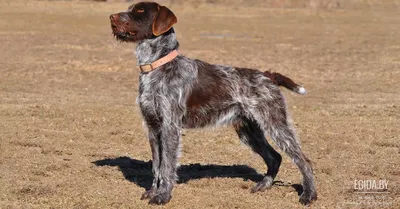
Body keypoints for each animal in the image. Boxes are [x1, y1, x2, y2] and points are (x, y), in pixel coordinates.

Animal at [108, 2, 316, 206]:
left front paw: (163, 196)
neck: (156, 66)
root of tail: (268, 75)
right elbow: (156, 166)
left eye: (140, 10)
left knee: (304, 160)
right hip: (249, 131)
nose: (111, 17)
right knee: (275, 157)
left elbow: (166, 165)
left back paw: (309, 195)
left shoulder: (170, 127)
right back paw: (263, 186)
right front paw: (153, 192)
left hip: (275, 124)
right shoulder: (152, 127)